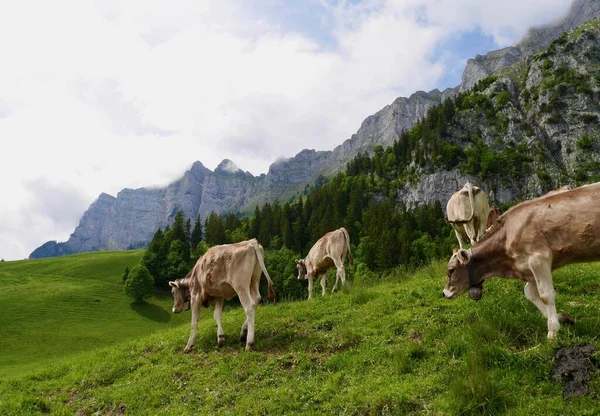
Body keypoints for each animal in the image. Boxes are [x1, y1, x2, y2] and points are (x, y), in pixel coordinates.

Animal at [440, 183, 600, 342]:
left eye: (451, 270)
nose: (444, 293)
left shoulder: (538, 259)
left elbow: (546, 295)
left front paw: (553, 330)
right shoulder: (528, 267)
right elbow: (529, 293)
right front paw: (562, 318)